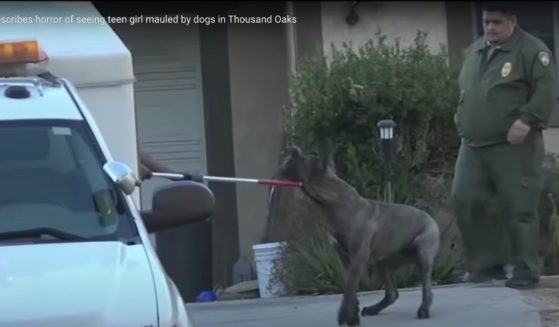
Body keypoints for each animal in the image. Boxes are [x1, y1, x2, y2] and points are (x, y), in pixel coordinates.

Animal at [280, 147, 442, 326]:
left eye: (306, 158)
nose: (292, 150)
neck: (333, 200)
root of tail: (432, 218)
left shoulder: (359, 255)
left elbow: (349, 287)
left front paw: (345, 316)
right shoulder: (344, 257)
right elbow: (350, 286)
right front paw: (353, 315)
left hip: (423, 253)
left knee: (427, 287)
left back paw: (424, 309)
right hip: (382, 263)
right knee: (392, 293)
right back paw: (373, 309)